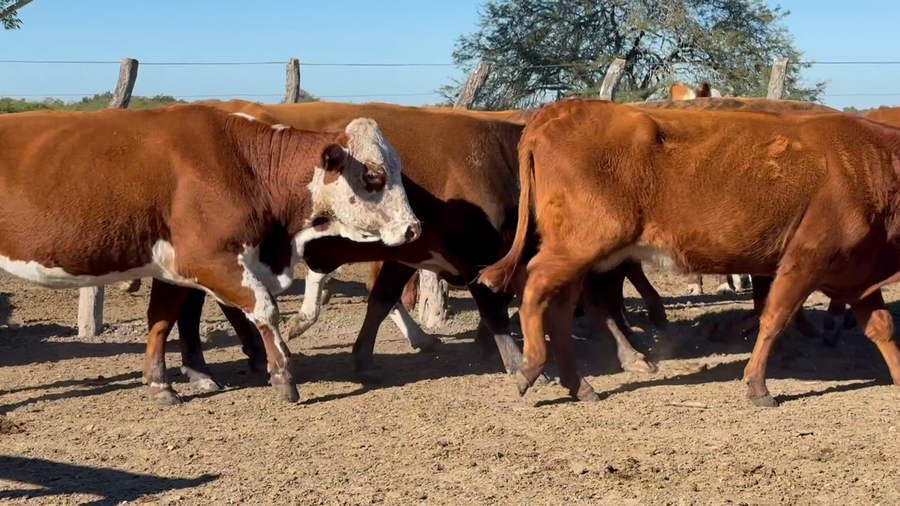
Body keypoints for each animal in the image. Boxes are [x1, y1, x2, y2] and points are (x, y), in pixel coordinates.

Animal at [0, 104, 421, 405]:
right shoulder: (206, 259)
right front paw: (283, 375)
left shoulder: (172, 267)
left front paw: (159, 383)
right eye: (374, 176)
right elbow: (265, 308)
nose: (413, 228)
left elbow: (161, 320)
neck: (243, 164)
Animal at [478, 98, 900, 407]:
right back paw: (530, 368)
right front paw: (757, 386)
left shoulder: (857, 272)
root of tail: (560, 109)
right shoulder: (805, 260)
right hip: (578, 247)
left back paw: (580, 384)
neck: (868, 163)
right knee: (532, 287)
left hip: (579, 257)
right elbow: (775, 318)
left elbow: (881, 326)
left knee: (561, 311)